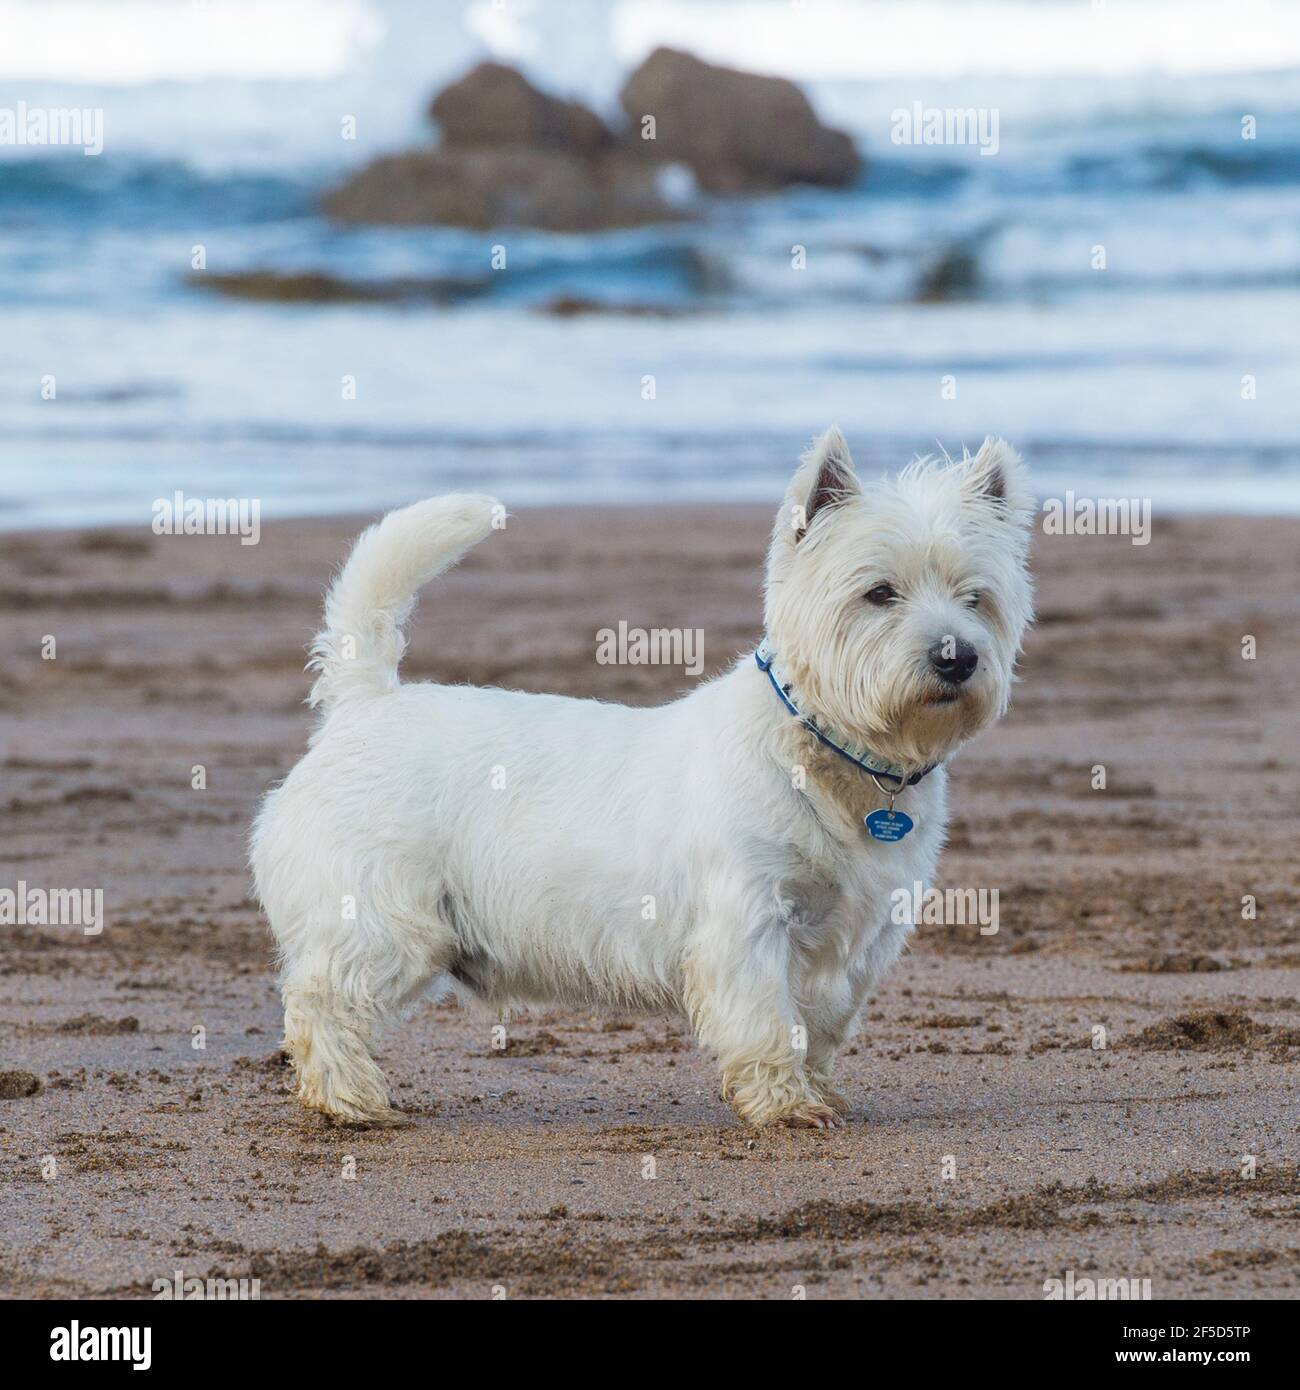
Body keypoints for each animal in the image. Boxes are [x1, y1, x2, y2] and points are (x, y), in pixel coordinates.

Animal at [248, 433, 1034, 1128]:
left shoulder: (859, 936)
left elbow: (822, 1024)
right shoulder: (747, 920)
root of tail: (364, 703)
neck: (836, 758)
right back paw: (351, 1102)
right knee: (322, 1003)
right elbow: (767, 1020)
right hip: (384, 919)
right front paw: (784, 1106)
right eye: (879, 593)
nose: (957, 657)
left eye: (975, 598)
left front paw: (817, 1090)